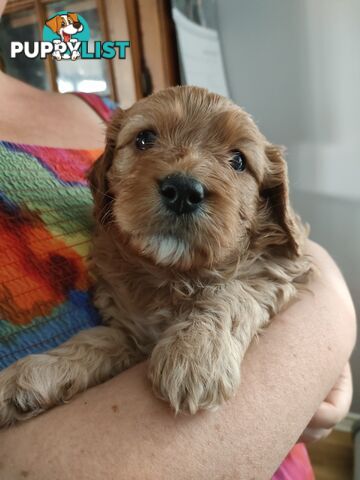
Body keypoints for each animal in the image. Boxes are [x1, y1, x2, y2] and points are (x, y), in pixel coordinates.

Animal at [0, 87, 310, 428]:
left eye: (239, 161)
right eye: (145, 138)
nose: (183, 191)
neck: (172, 273)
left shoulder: (281, 270)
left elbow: (233, 291)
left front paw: (195, 354)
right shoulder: (132, 332)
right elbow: (96, 338)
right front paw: (33, 372)